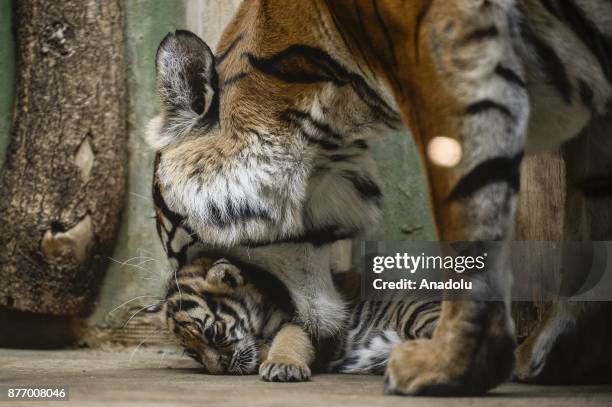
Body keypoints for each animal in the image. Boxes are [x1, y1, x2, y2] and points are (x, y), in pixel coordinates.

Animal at [148, 0, 612, 396]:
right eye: (192, 351)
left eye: (178, 244)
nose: (220, 368)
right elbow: (591, 218)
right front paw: (558, 352)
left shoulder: (448, 55)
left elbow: (470, 226)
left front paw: (449, 367)